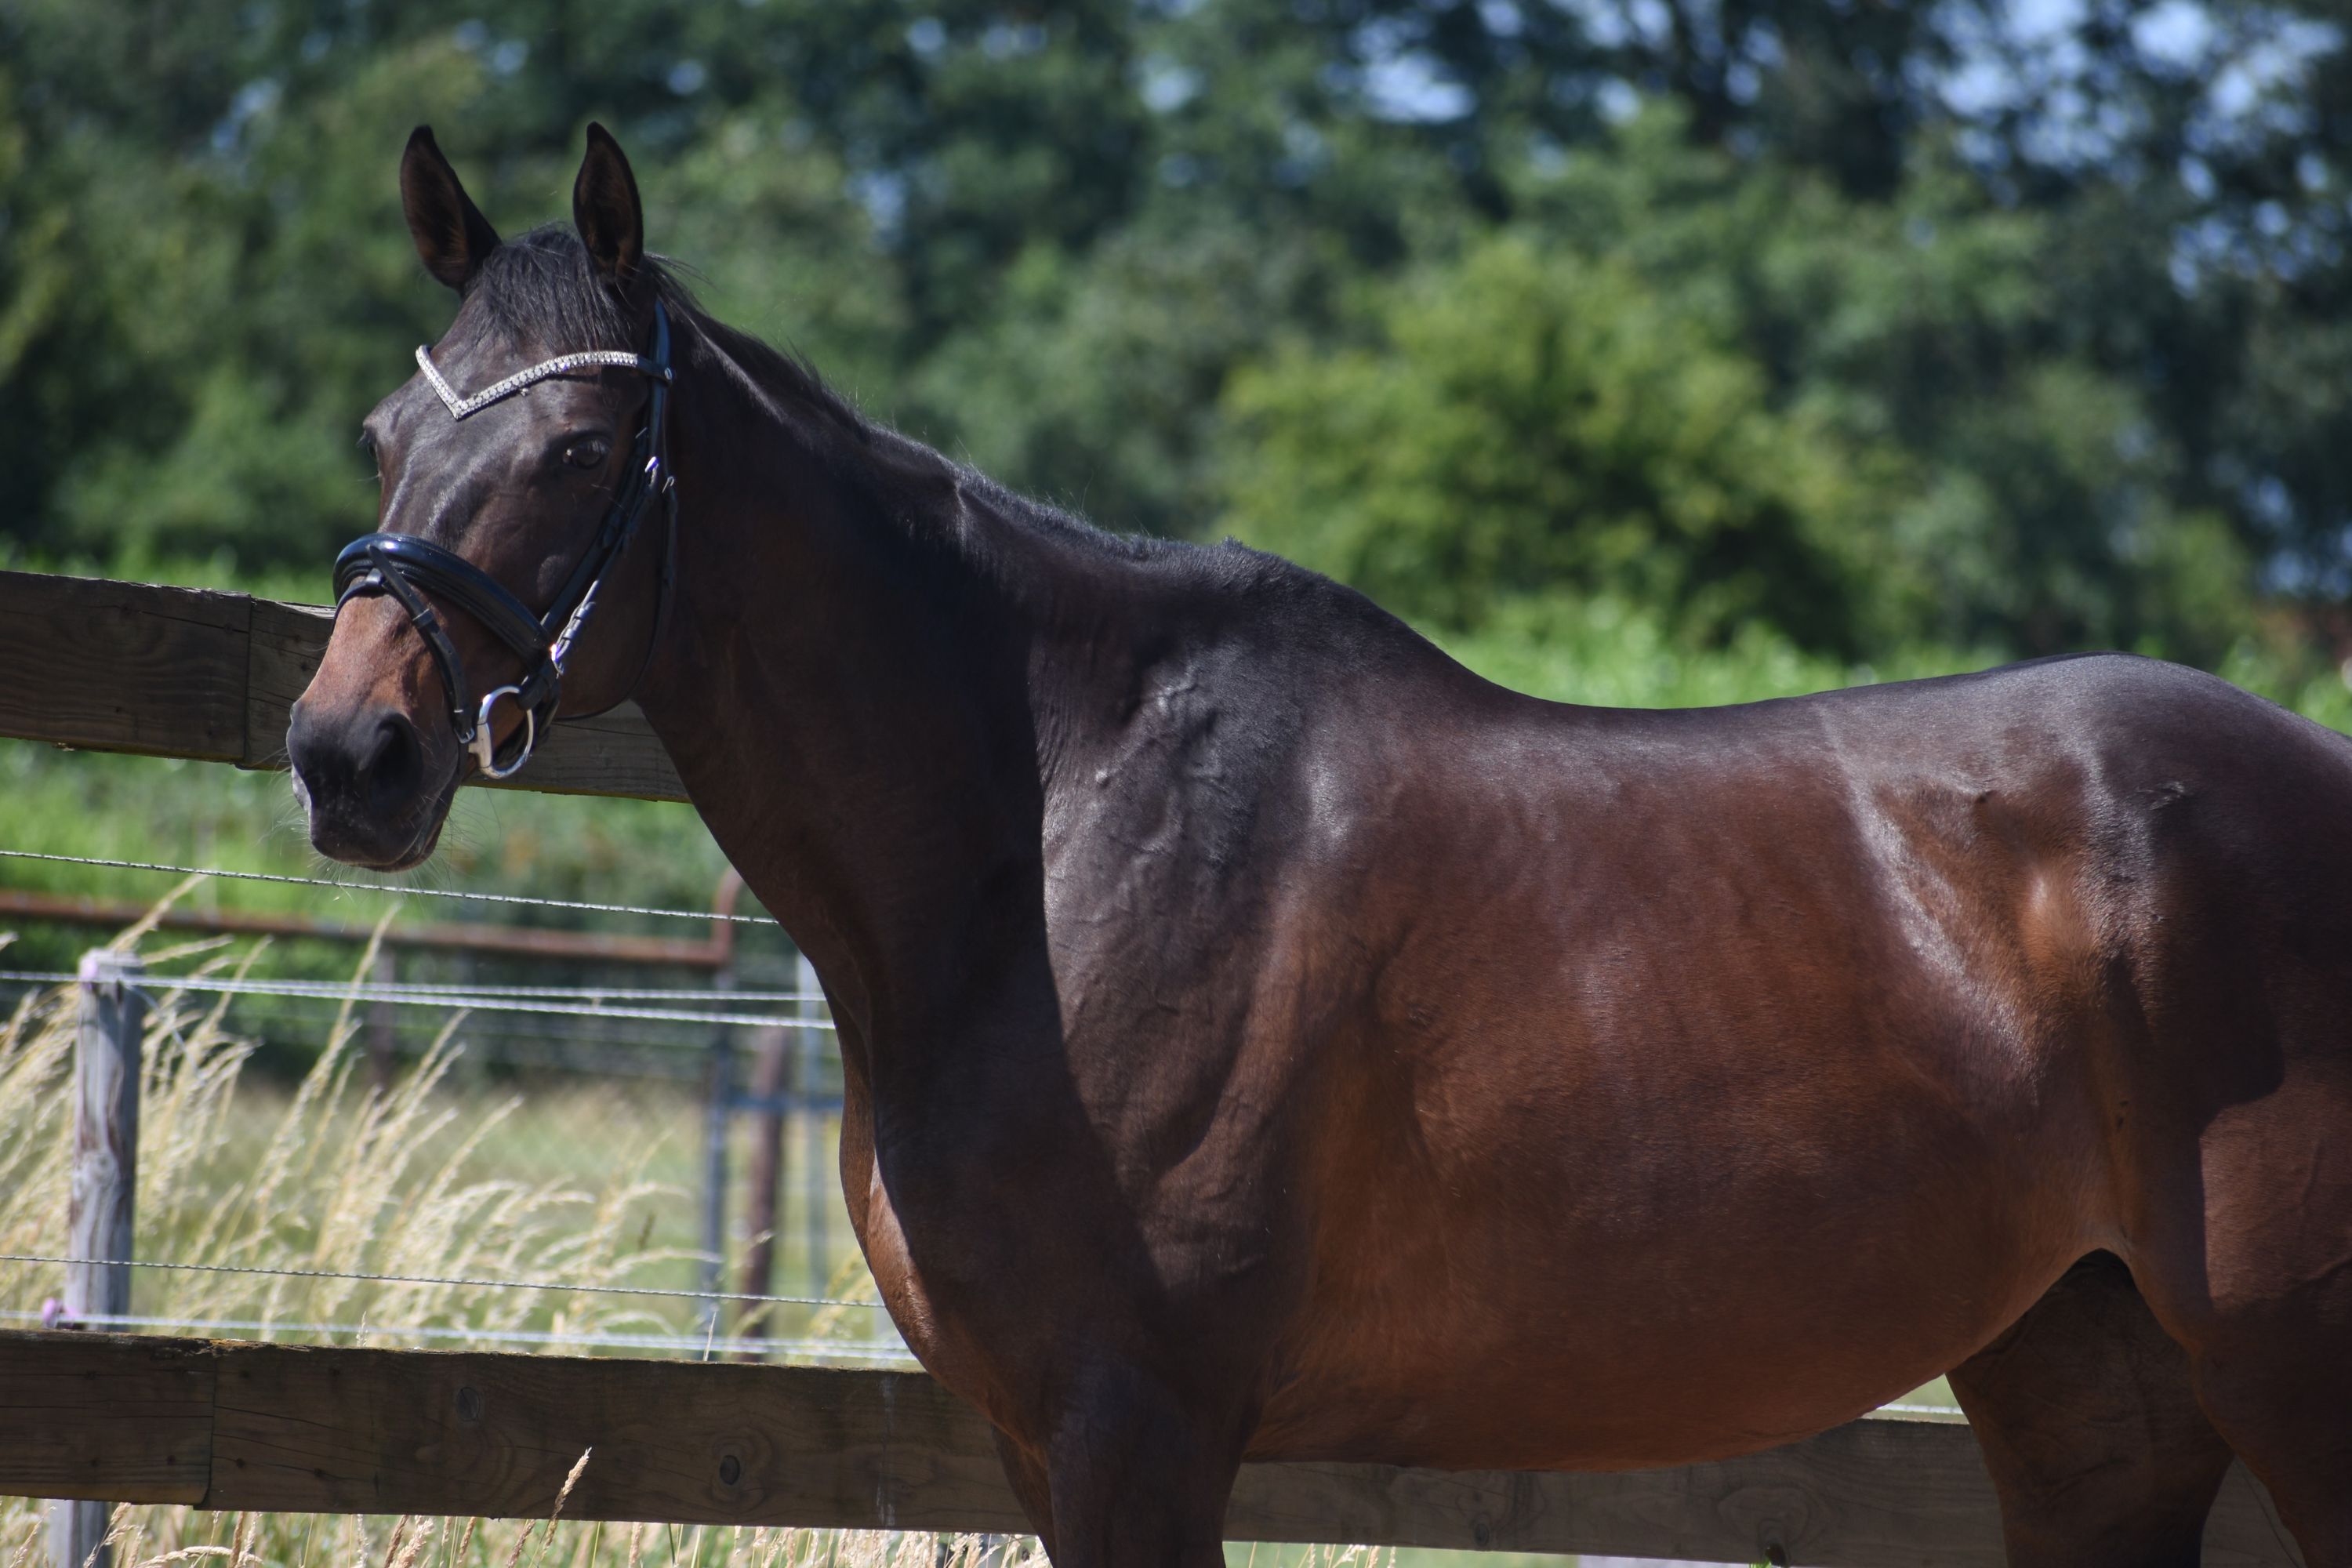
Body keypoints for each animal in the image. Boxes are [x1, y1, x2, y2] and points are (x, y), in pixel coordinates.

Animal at [289, 124, 2352, 1566]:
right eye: (385, 425)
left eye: (577, 451)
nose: (345, 752)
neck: (1053, 839)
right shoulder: (1039, 1439)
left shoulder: (1139, 1428)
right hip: (2089, 1389)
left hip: (2280, 1368)